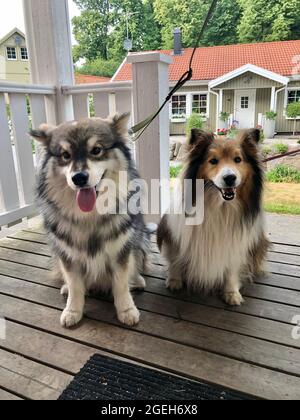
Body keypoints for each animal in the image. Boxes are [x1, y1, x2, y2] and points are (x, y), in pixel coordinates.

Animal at [157, 128, 270, 306]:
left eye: (238, 159)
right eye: (213, 161)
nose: (230, 178)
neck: (220, 207)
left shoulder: (235, 245)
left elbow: (232, 269)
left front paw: (231, 292)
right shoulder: (174, 236)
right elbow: (175, 258)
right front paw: (175, 280)